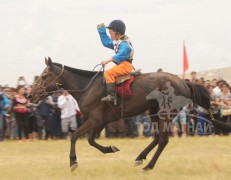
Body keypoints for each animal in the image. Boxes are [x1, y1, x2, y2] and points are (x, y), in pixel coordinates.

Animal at [29, 57, 231, 172]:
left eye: (44, 76)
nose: (31, 95)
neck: (87, 87)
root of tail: (184, 82)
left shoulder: (94, 120)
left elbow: (74, 136)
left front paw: (73, 162)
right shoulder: (100, 122)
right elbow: (91, 140)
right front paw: (110, 148)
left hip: (164, 114)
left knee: (163, 140)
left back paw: (148, 166)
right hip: (153, 112)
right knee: (157, 138)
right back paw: (140, 158)